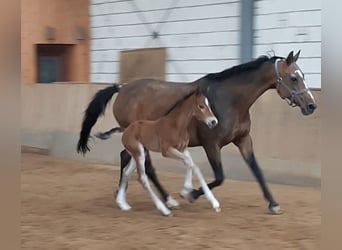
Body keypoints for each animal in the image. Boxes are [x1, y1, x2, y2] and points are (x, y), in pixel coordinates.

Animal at [116, 87, 219, 215]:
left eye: (209, 105)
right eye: (201, 106)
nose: (214, 121)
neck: (176, 125)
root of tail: (125, 131)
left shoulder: (182, 148)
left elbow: (193, 165)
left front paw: (214, 203)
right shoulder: (166, 151)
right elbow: (188, 162)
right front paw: (185, 190)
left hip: (139, 154)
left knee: (126, 172)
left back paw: (123, 204)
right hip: (139, 154)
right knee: (142, 178)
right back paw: (164, 210)